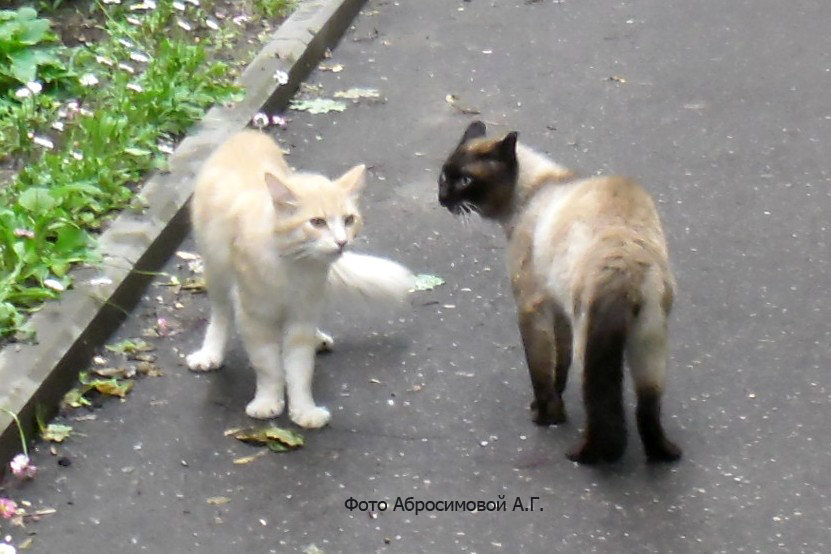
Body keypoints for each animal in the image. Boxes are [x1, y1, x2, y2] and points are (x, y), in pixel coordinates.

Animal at [185, 129, 412, 426]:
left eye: (349, 220)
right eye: (317, 222)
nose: (341, 241)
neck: (293, 265)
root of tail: (247, 133)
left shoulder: (301, 317)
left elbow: (300, 370)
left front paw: (304, 411)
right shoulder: (254, 318)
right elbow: (269, 366)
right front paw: (268, 402)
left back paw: (318, 339)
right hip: (217, 273)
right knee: (221, 315)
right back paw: (210, 353)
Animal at [438, 122, 680, 462]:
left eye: (465, 181)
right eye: (444, 176)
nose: (442, 197)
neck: (531, 193)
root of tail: (624, 260)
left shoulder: (530, 307)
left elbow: (540, 372)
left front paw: (545, 416)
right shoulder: (559, 311)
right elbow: (558, 366)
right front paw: (556, 408)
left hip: (591, 342)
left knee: (598, 400)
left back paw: (584, 455)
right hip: (649, 342)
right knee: (648, 405)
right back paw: (663, 453)